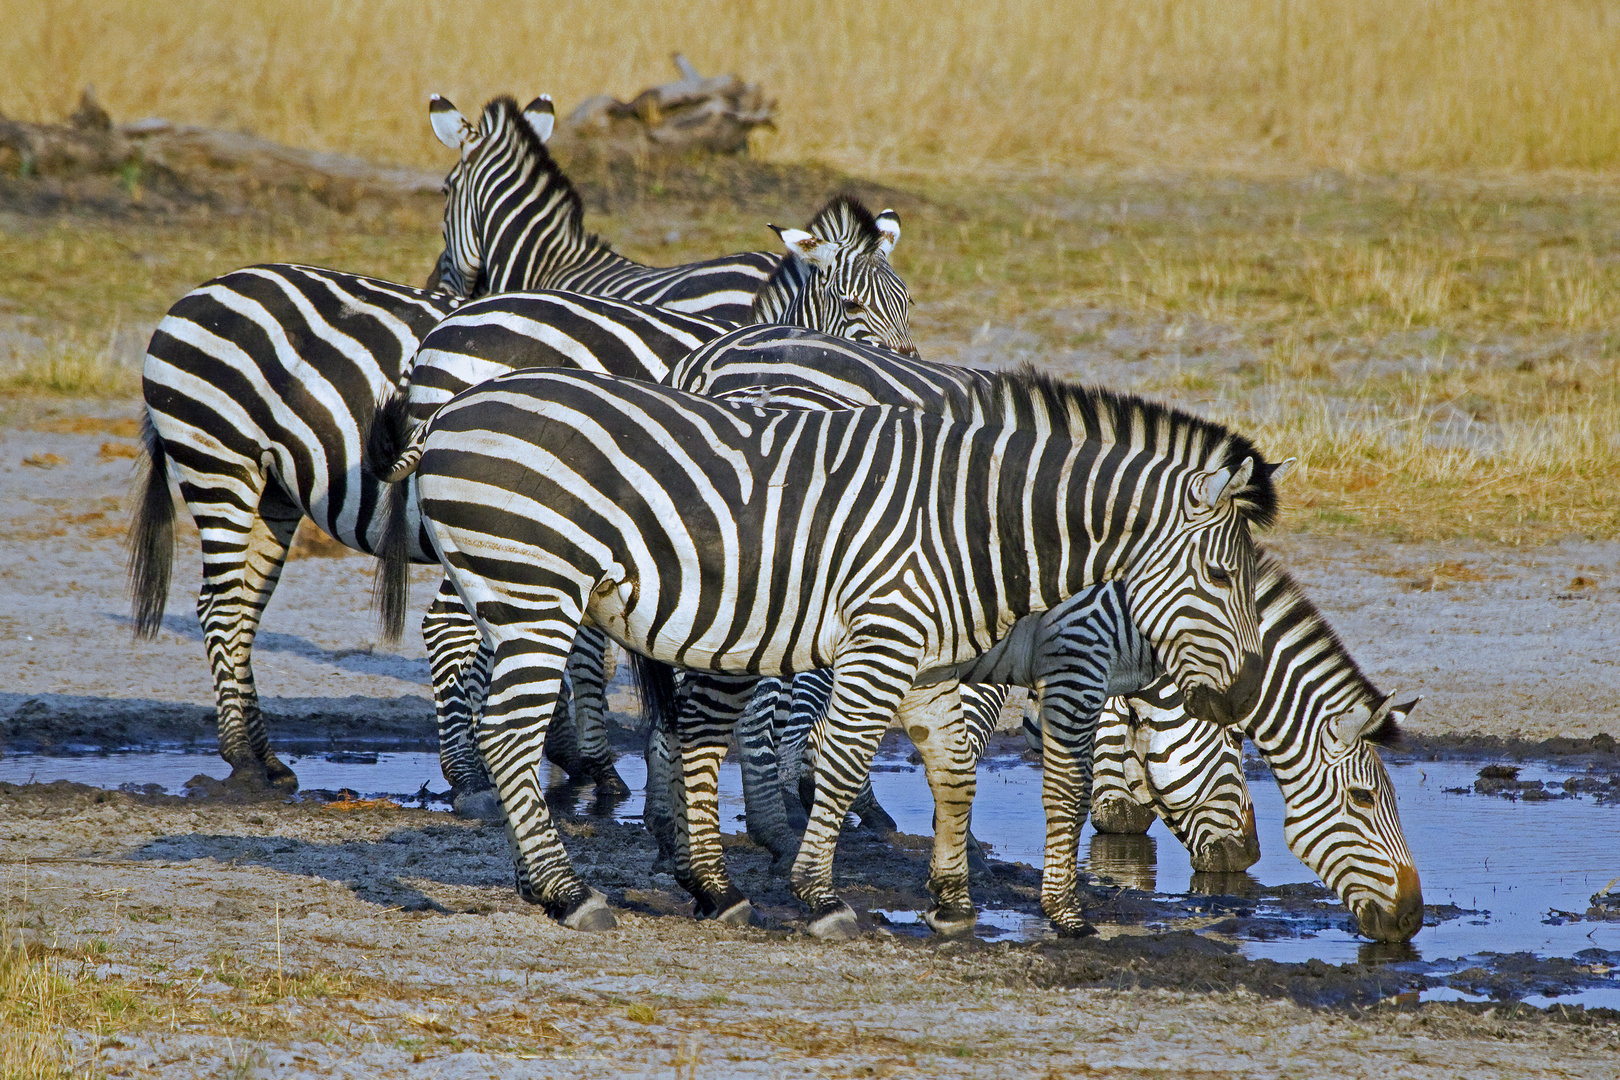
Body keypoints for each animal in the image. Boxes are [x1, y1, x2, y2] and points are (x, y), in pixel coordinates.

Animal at [372, 365, 1283, 939]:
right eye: (1217, 574)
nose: (1243, 695)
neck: (977, 522)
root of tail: (448, 412)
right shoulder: (884, 635)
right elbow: (843, 764)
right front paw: (820, 898)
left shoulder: (927, 657)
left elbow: (953, 768)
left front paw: (952, 901)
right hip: (534, 591)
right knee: (507, 733)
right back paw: (567, 892)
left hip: (519, 597)